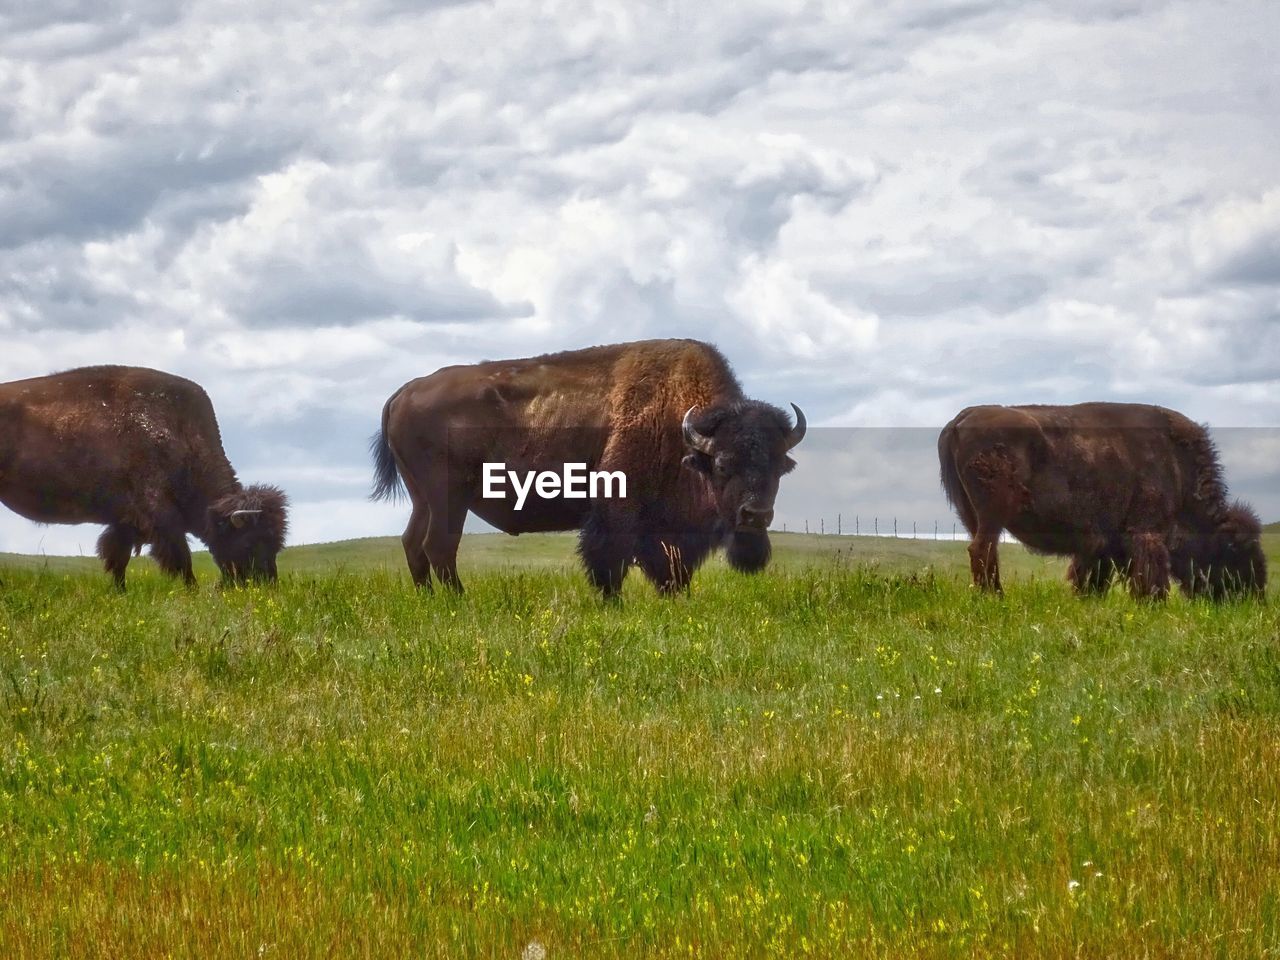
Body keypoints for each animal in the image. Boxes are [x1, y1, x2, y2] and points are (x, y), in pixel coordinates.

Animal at [0, 366, 290, 586]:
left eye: (277, 544)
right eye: (250, 541)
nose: (267, 585)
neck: (182, 434)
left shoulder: (125, 522)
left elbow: (119, 559)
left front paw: (120, 592)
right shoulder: (161, 516)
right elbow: (181, 559)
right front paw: (192, 591)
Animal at [371, 335, 803, 593]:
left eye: (779, 467)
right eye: (723, 464)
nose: (755, 515)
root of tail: (405, 391)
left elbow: (671, 568)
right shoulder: (617, 510)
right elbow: (609, 561)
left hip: (423, 498)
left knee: (414, 542)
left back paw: (432, 599)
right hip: (449, 497)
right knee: (439, 545)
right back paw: (459, 601)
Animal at [936, 404, 1264, 601]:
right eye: (1236, 554)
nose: (1253, 597)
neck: (1178, 468)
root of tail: (960, 420)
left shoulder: (1100, 545)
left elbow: (1092, 575)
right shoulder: (1146, 531)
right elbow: (1151, 569)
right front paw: (1153, 602)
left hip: (972, 514)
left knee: (983, 549)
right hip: (994, 513)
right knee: (983, 550)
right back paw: (997, 597)